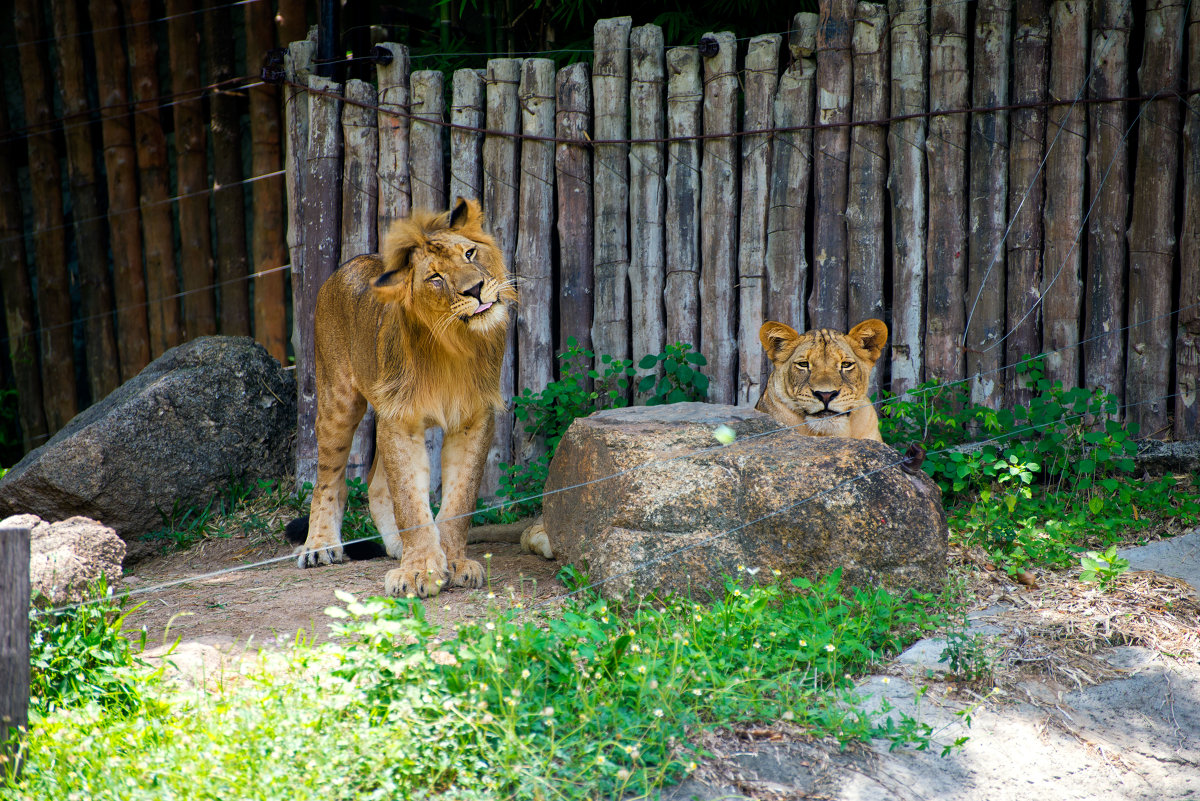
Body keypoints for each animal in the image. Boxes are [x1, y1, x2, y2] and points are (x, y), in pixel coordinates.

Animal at [294, 196, 516, 597]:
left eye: (470, 253)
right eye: (435, 278)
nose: (476, 289)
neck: (454, 345)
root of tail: (348, 264)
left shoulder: (472, 418)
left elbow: (458, 499)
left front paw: (452, 561)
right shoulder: (401, 419)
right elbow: (410, 500)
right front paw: (420, 570)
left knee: (376, 485)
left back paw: (398, 545)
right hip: (338, 400)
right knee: (329, 481)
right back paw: (319, 546)